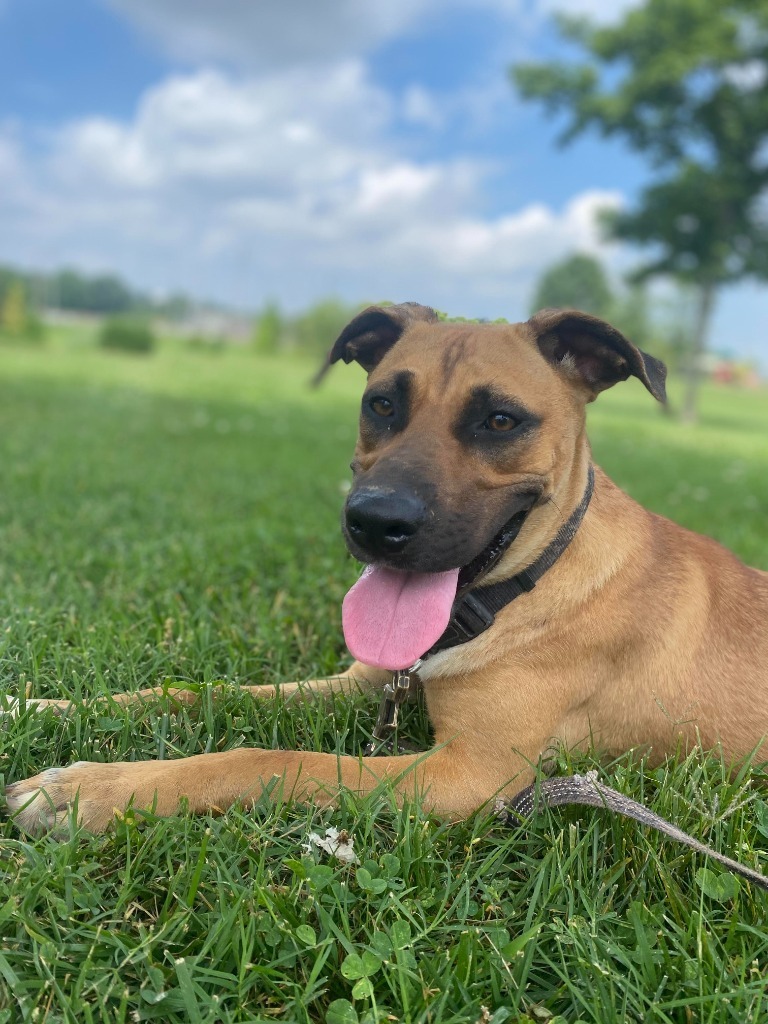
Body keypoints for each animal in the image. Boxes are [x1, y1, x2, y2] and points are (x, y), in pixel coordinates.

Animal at [6, 303, 768, 831]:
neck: (527, 584)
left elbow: (276, 759)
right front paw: (44, 707)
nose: (375, 523)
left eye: (500, 420)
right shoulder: (366, 681)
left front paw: (90, 791)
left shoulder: (469, 773)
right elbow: (194, 692)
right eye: (381, 403)